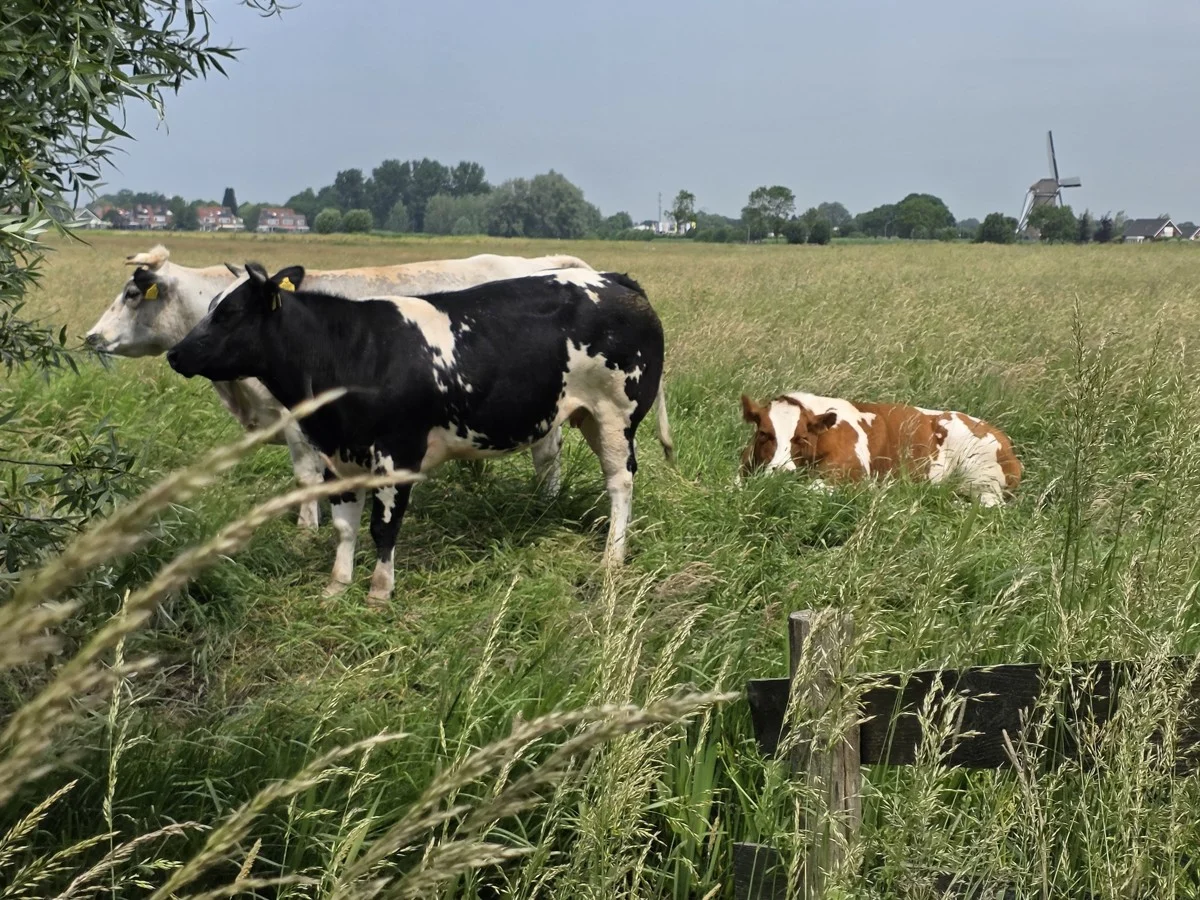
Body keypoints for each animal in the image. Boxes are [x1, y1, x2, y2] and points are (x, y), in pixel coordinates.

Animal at [84, 245, 600, 529]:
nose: (90, 336)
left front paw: (305, 529)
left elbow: (306, 478)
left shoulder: (302, 421)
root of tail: (544, 263)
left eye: (133, 294)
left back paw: (543, 504)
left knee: (547, 455)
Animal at [166, 262, 672, 604]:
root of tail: (611, 279)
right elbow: (345, 527)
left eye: (229, 313)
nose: (175, 353)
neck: (354, 353)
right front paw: (336, 587)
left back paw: (612, 556)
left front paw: (378, 591)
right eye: (208, 307)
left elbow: (383, 527)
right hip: (587, 416)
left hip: (616, 415)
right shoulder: (339, 456)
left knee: (620, 482)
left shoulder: (398, 454)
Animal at [740, 391, 1021, 505]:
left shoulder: (852, 477)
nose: (780, 472)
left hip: (982, 478)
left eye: (802, 438)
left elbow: (810, 490)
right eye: (764, 433)